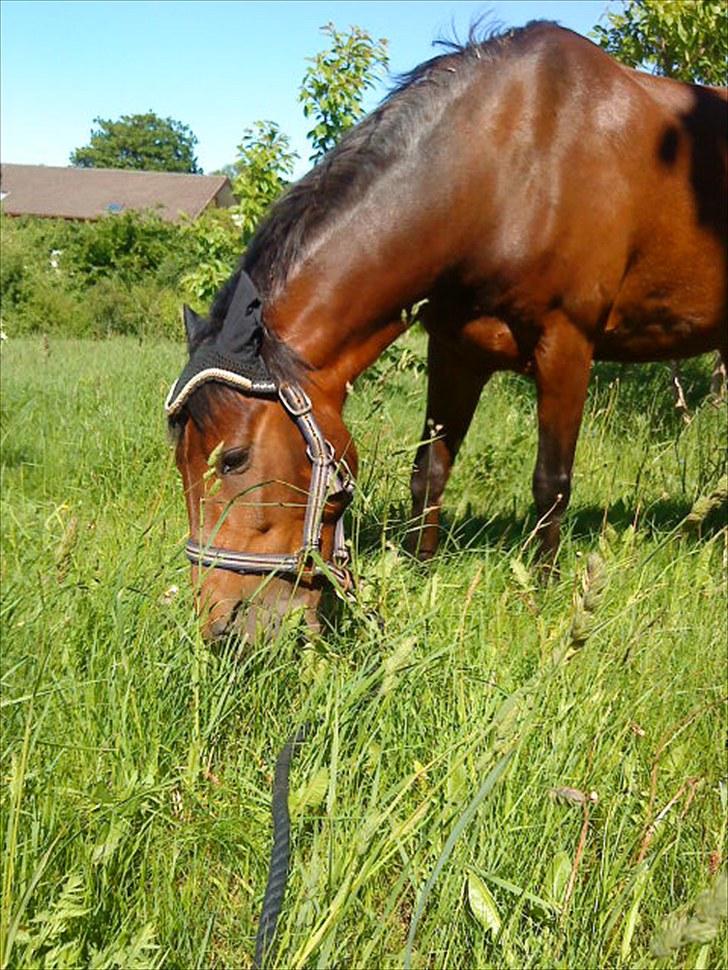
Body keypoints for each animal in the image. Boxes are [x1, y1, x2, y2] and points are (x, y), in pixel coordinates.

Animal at [166, 21, 726, 640]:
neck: (515, 158)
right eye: (181, 463)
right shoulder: (456, 350)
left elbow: (551, 482)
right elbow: (429, 471)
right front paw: (419, 570)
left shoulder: (566, 343)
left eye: (234, 459)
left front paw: (545, 593)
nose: (224, 629)